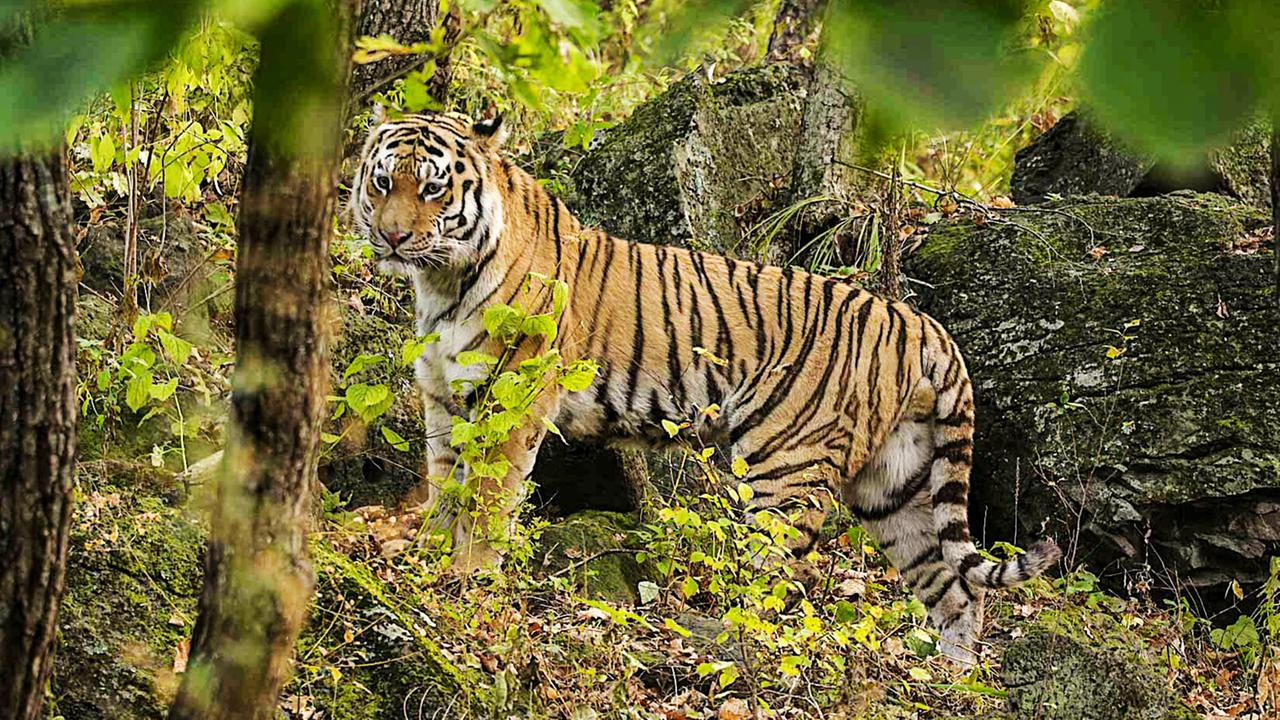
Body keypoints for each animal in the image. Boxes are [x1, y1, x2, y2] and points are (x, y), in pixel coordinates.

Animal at [348, 109, 1060, 663]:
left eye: (434, 190)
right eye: (383, 182)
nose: (392, 235)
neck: (441, 280)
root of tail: (921, 323)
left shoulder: (512, 399)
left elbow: (487, 500)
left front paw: (467, 581)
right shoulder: (443, 396)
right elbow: (444, 484)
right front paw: (425, 564)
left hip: (788, 468)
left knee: (782, 579)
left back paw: (728, 640)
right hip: (895, 483)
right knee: (955, 586)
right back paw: (954, 675)